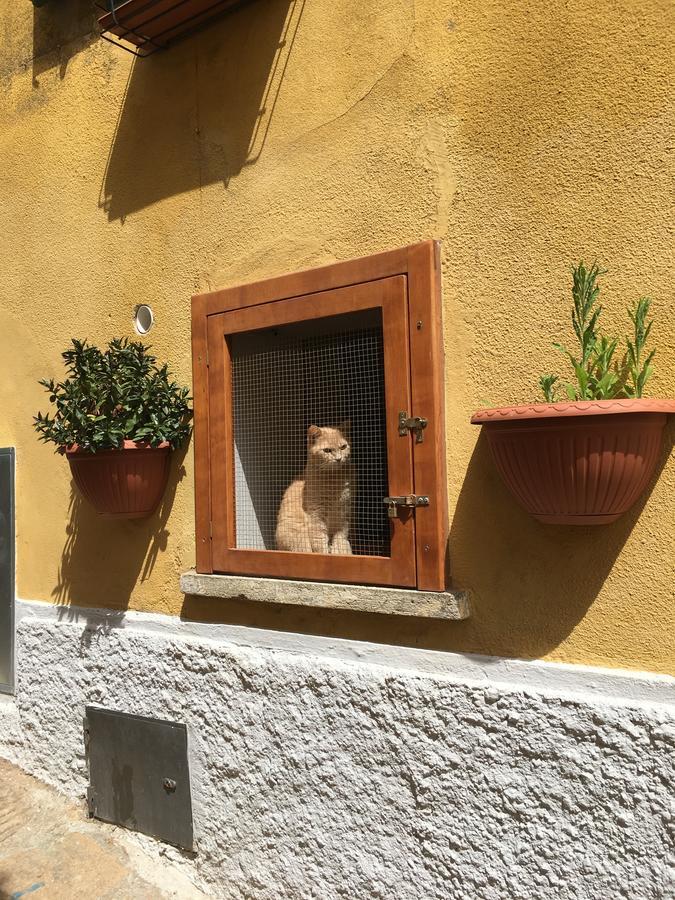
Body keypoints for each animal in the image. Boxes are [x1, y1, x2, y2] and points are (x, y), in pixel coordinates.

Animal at [276, 422, 354, 556]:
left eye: (343, 447)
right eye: (327, 450)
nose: (339, 459)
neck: (334, 481)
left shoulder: (343, 513)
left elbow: (340, 538)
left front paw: (340, 552)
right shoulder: (316, 515)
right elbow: (319, 541)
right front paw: (325, 554)